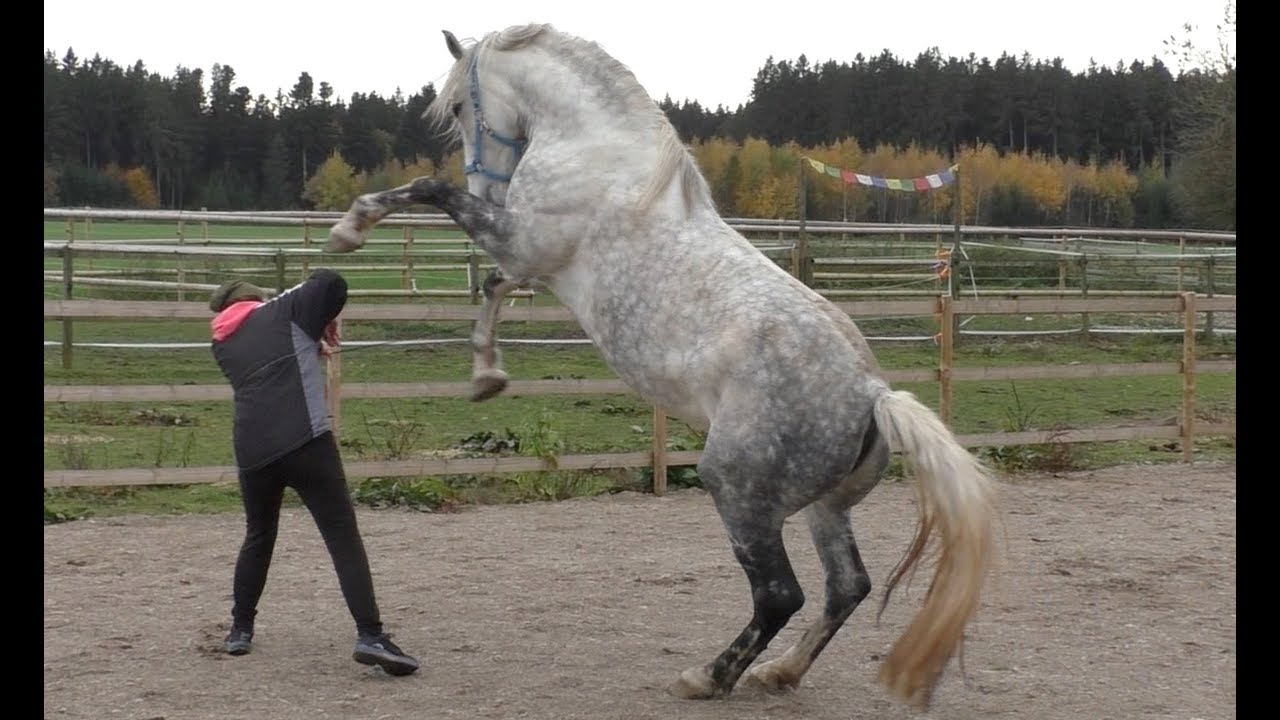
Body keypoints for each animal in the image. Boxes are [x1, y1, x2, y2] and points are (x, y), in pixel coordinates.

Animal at [325, 23, 998, 710]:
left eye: (460, 106)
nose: (489, 186)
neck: (598, 151)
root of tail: (872, 395)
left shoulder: (523, 241)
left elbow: (430, 190)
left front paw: (349, 230)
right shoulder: (528, 260)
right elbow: (491, 286)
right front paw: (487, 375)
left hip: (736, 488)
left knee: (780, 594)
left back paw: (710, 676)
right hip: (827, 508)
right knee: (847, 587)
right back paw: (778, 673)